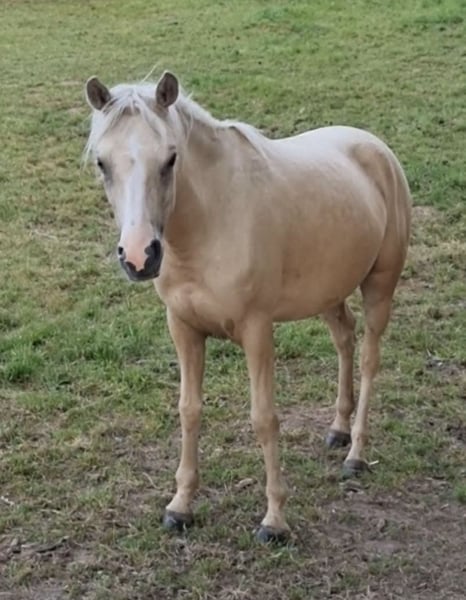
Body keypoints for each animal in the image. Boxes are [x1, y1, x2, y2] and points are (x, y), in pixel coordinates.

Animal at [84, 71, 411, 543]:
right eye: (102, 163)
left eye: (170, 159)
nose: (139, 256)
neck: (210, 223)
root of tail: (375, 147)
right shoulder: (183, 327)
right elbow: (189, 410)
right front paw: (180, 506)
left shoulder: (257, 330)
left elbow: (264, 418)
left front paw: (274, 520)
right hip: (329, 293)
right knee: (344, 339)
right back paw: (337, 429)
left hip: (380, 287)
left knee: (369, 358)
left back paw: (356, 453)